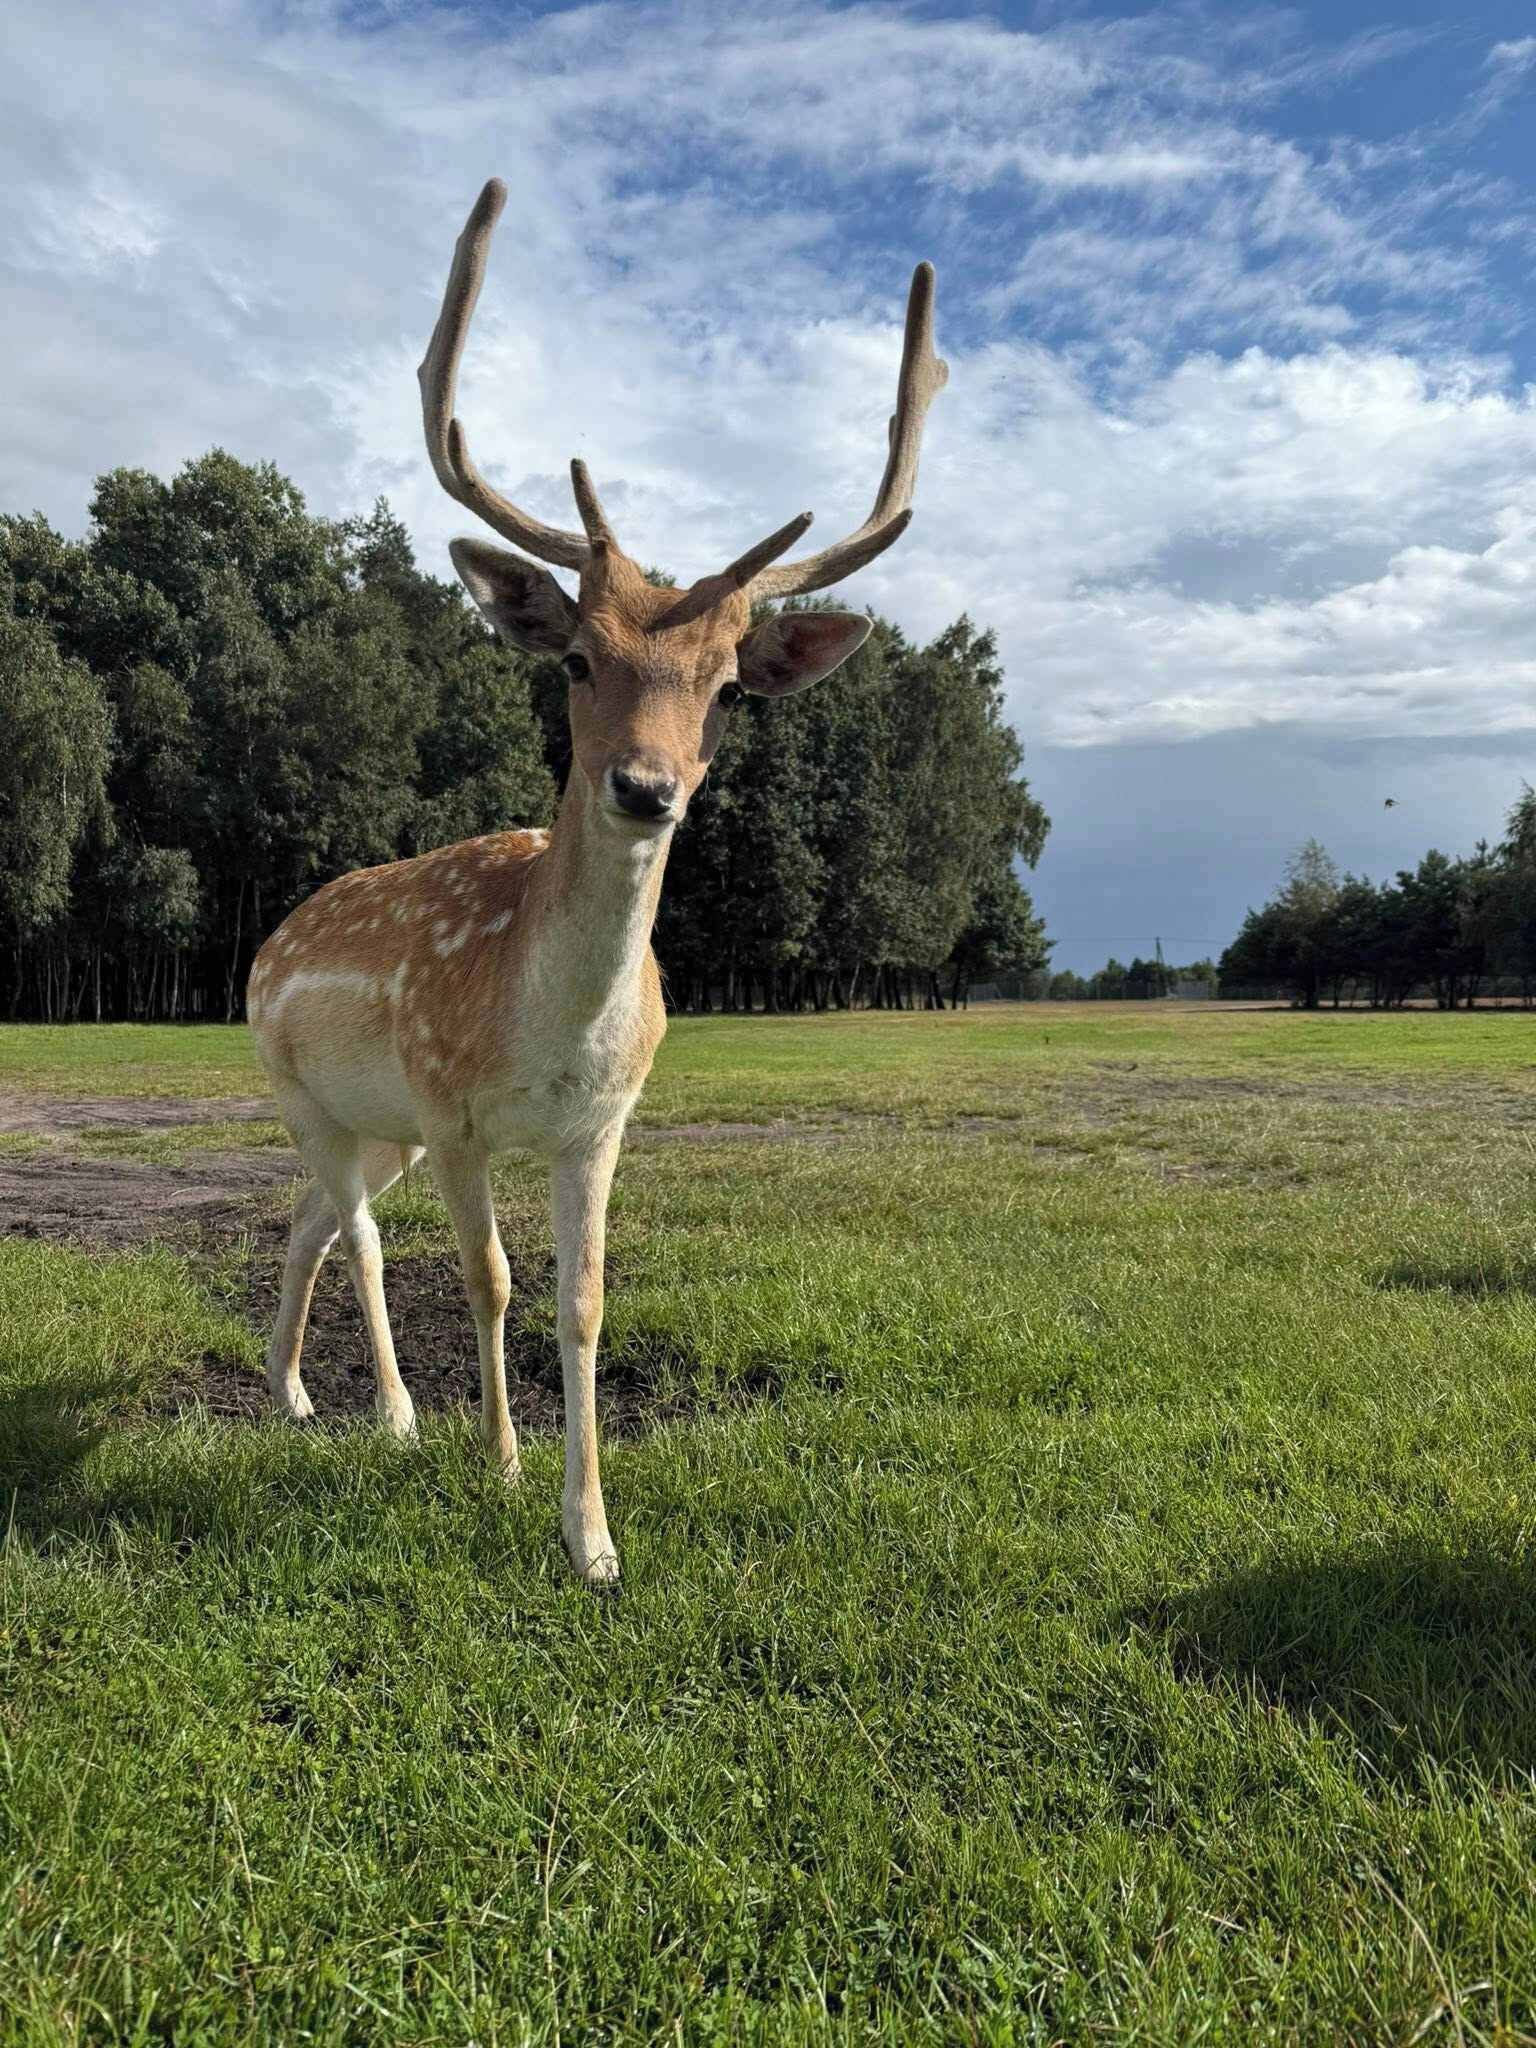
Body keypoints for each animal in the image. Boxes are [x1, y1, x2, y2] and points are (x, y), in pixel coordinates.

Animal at [246, 178, 946, 1584]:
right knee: (354, 1233)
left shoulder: (604, 1122)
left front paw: (593, 1539)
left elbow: (580, 1301)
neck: (549, 1038)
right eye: (575, 657)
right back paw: (390, 1413)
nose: (645, 786)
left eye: (729, 687)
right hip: (306, 1091)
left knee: (307, 1221)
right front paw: (500, 1460)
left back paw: (293, 1391)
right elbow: (488, 1279)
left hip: (374, 1124)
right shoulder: (454, 1109)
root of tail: (271, 938)